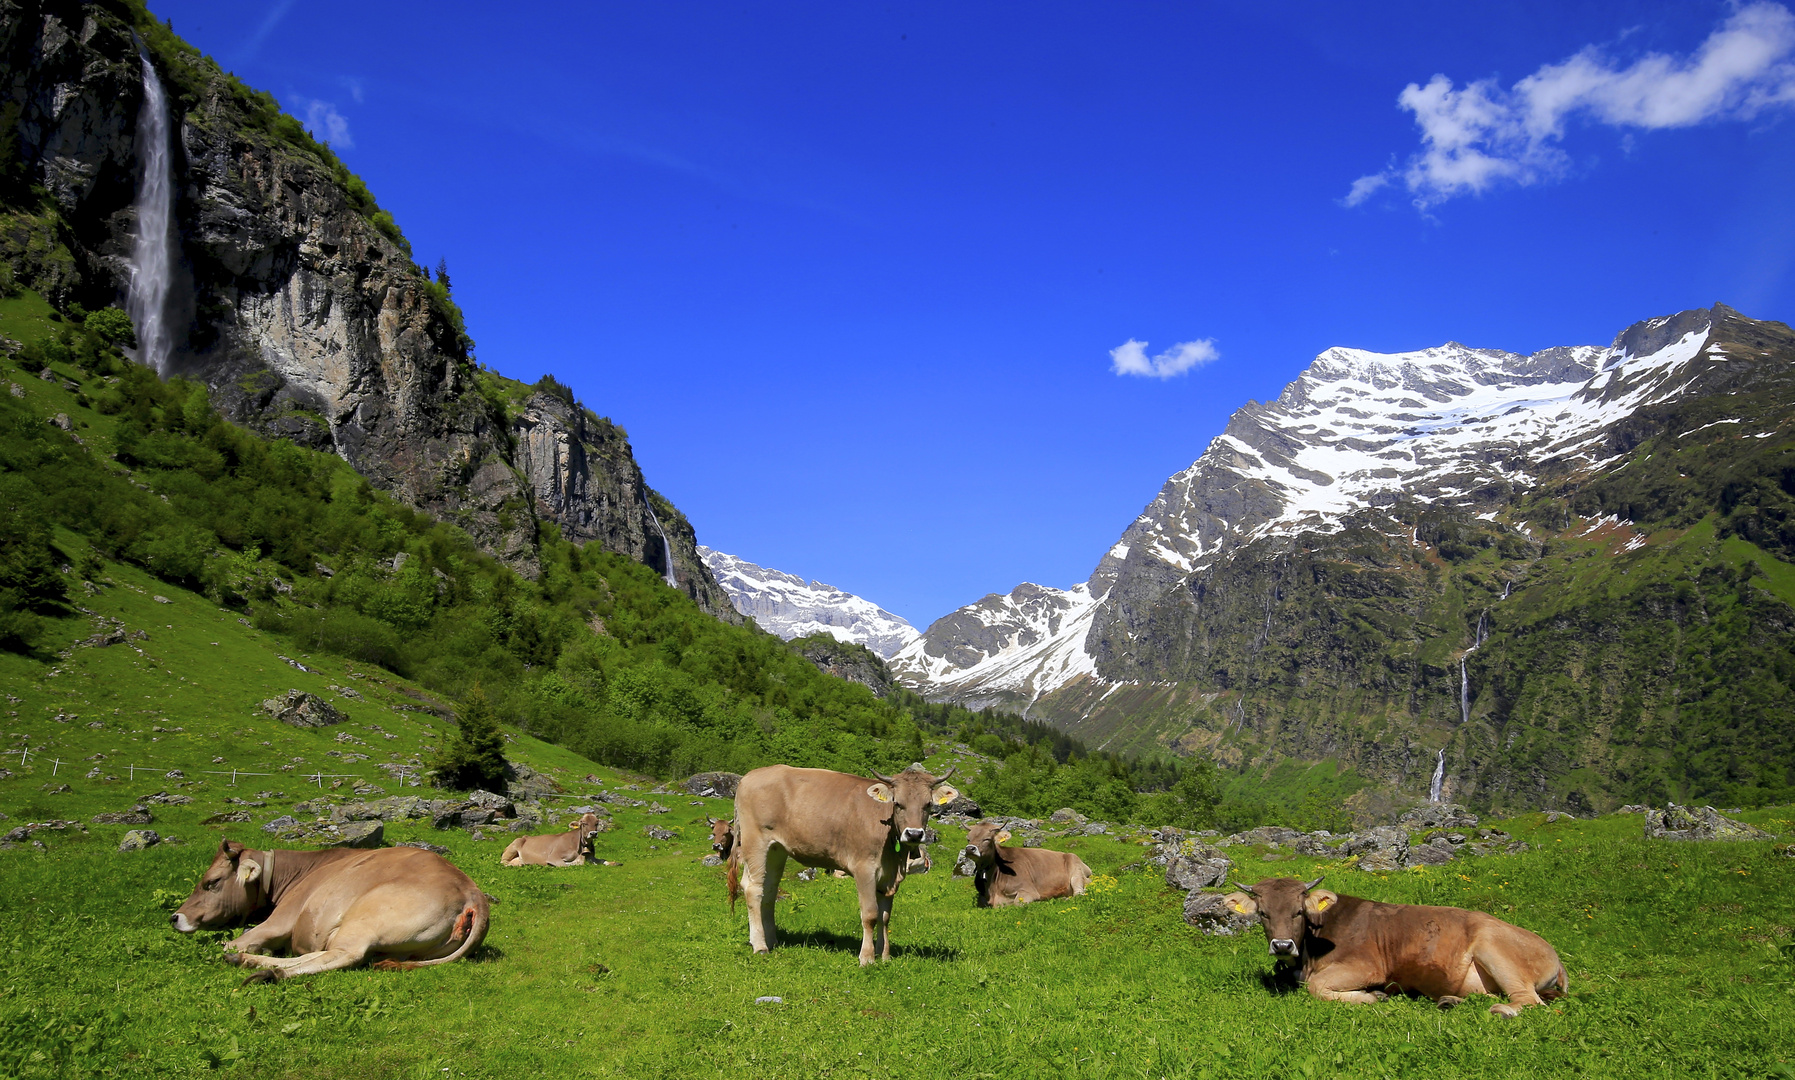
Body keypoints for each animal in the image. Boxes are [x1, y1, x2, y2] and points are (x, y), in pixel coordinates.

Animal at [170, 836, 488, 983]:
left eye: (211, 883)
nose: (175, 917)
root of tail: (471, 891)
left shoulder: (280, 919)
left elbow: (232, 941)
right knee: (323, 954)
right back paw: (250, 962)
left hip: (363, 920)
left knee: (344, 955)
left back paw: (269, 972)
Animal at [725, 760, 962, 961]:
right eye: (898, 804)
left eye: (928, 804)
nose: (914, 834)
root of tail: (750, 776)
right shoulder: (864, 868)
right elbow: (870, 914)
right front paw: (867, 958)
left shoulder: (889, 877)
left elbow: (885, 917)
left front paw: (884, 955)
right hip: (755, 840)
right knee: (753, 888)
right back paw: (760, 945)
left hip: (777, 849)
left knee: (769, 889)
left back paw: (772, 940)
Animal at [1227, 871, 1565, 1011]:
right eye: (1263, 914)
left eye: (1298, 911)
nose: (1282, 946)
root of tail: (1554, 955)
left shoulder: (1366, 966)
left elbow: (1315, 986)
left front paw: (1373, 997)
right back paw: (1450, 1001)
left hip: (1492, 945)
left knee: (1527, 1001)